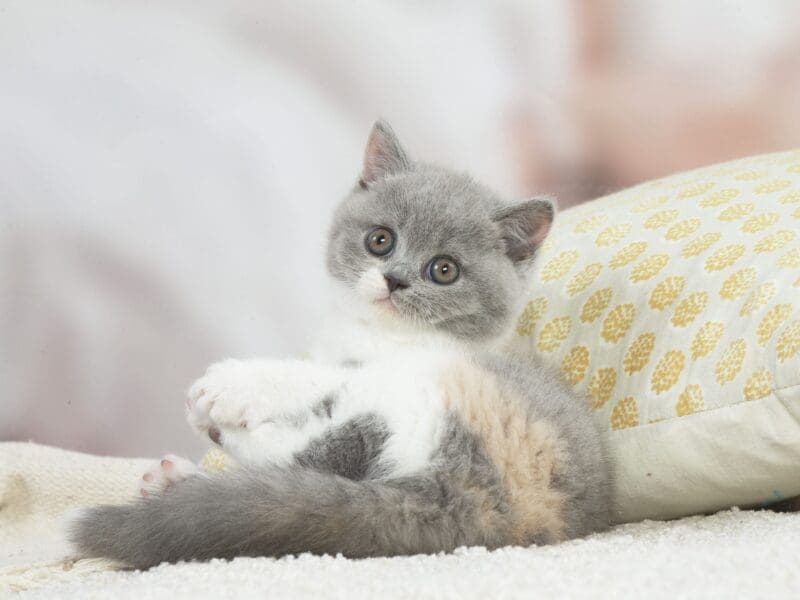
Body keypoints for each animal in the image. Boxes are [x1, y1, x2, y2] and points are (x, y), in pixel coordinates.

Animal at [70, 120, 612, 568]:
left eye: (443, 270)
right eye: (380, 240)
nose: (394, 280)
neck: (371, 332)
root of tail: (488, 514)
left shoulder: (403, 364)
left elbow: (315, 374)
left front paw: (227, 385)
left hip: (431, 405)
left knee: (331, 449)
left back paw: (216, 437)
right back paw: (175, 478)